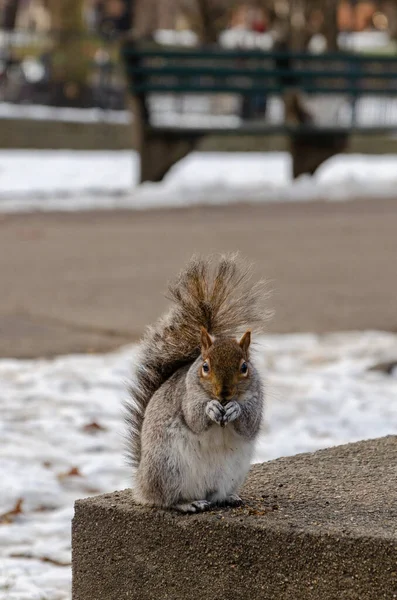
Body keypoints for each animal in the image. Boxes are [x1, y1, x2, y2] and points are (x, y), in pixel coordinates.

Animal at [126, 251, 270, 512]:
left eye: (244, 367)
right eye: (205, 367)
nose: (224, 394)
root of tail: (142, 483)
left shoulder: (257, 398)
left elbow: (249, 423)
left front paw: (235, 408)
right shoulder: (186, 395)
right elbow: (194, 419)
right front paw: (210, 408)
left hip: (230, 475)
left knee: (216, 495)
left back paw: (228, 497)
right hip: (169, 469)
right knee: (167, 500)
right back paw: (187, 504)